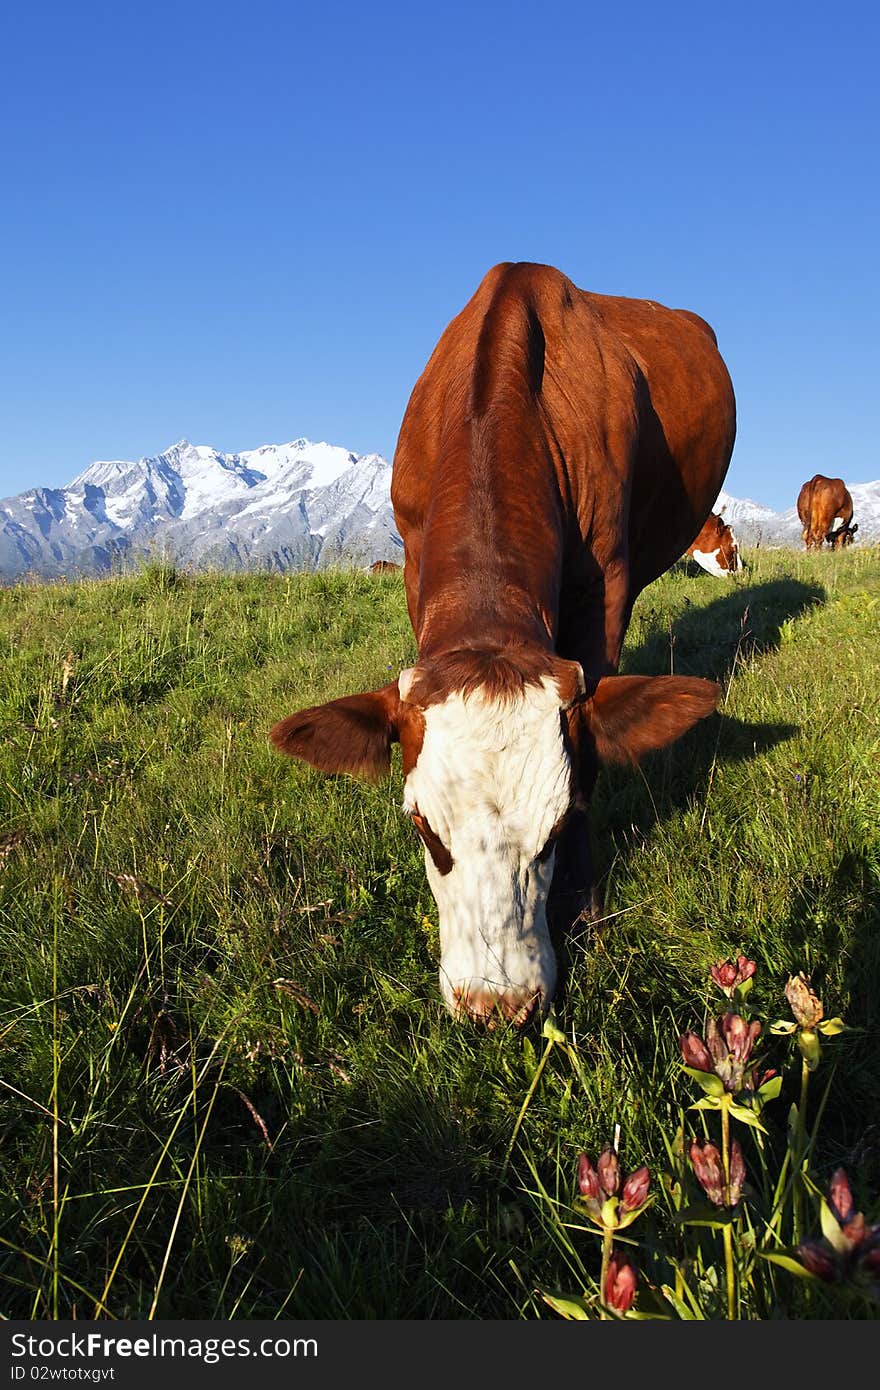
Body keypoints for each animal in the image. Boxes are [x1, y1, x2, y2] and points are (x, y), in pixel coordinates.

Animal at [268, 262, 734, 1023]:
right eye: (424, 829)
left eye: (558, 827)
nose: (497, 1004)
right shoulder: (413, 561)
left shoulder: (605, 585)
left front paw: (582, 903)